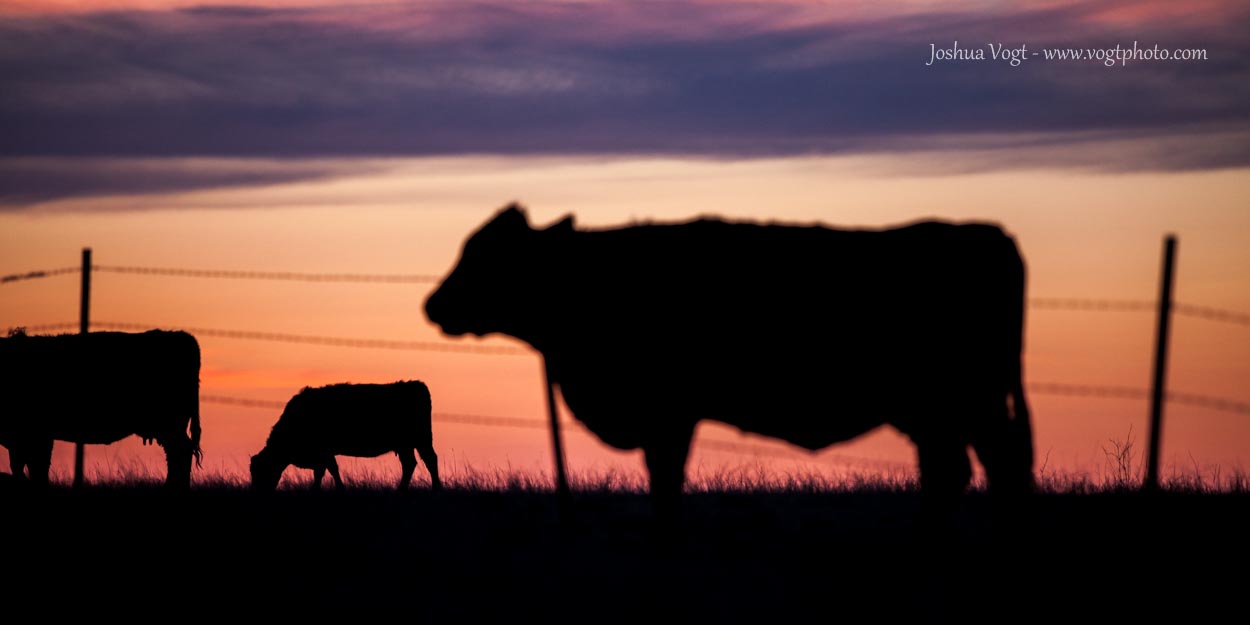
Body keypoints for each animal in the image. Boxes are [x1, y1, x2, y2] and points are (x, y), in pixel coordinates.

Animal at [0, 329, 203, 488]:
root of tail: (183, 337)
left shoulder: (37, 435)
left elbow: (37, 467)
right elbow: (21, 466)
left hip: (170, 425)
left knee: (180, 453)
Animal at [250, 381, 442, 492]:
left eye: (260, 471)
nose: (257, 492)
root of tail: (415, 384)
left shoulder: (324, 452)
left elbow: (328, 470)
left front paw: (331, 489)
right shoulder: (323, 454)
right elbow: (325, 471)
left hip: (422, 440)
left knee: (430, 460)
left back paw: (436, 488)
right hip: (405, 445)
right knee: (410, 464)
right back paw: (401, 489)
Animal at [425, 204, 1035, 516]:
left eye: (484, 254)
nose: (432, 304)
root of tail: (992, 234)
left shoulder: (669, 414)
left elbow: (666, 478)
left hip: (969, 401)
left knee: (997, 464)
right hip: (936, 412)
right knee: (953, 470)